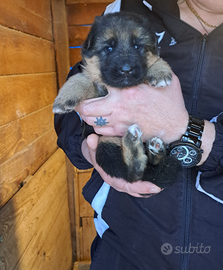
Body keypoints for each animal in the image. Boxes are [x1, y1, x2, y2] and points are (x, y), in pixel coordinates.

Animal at [52, 11, 181, 188]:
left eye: (137, 46)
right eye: (109, 48)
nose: (126, 70)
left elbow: (156, 60)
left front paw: (159, 70)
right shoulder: (96, 91)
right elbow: (81, 78)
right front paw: (65, 97)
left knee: (139, 172)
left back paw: (151, 148)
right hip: (104, 144)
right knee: (134, 173)